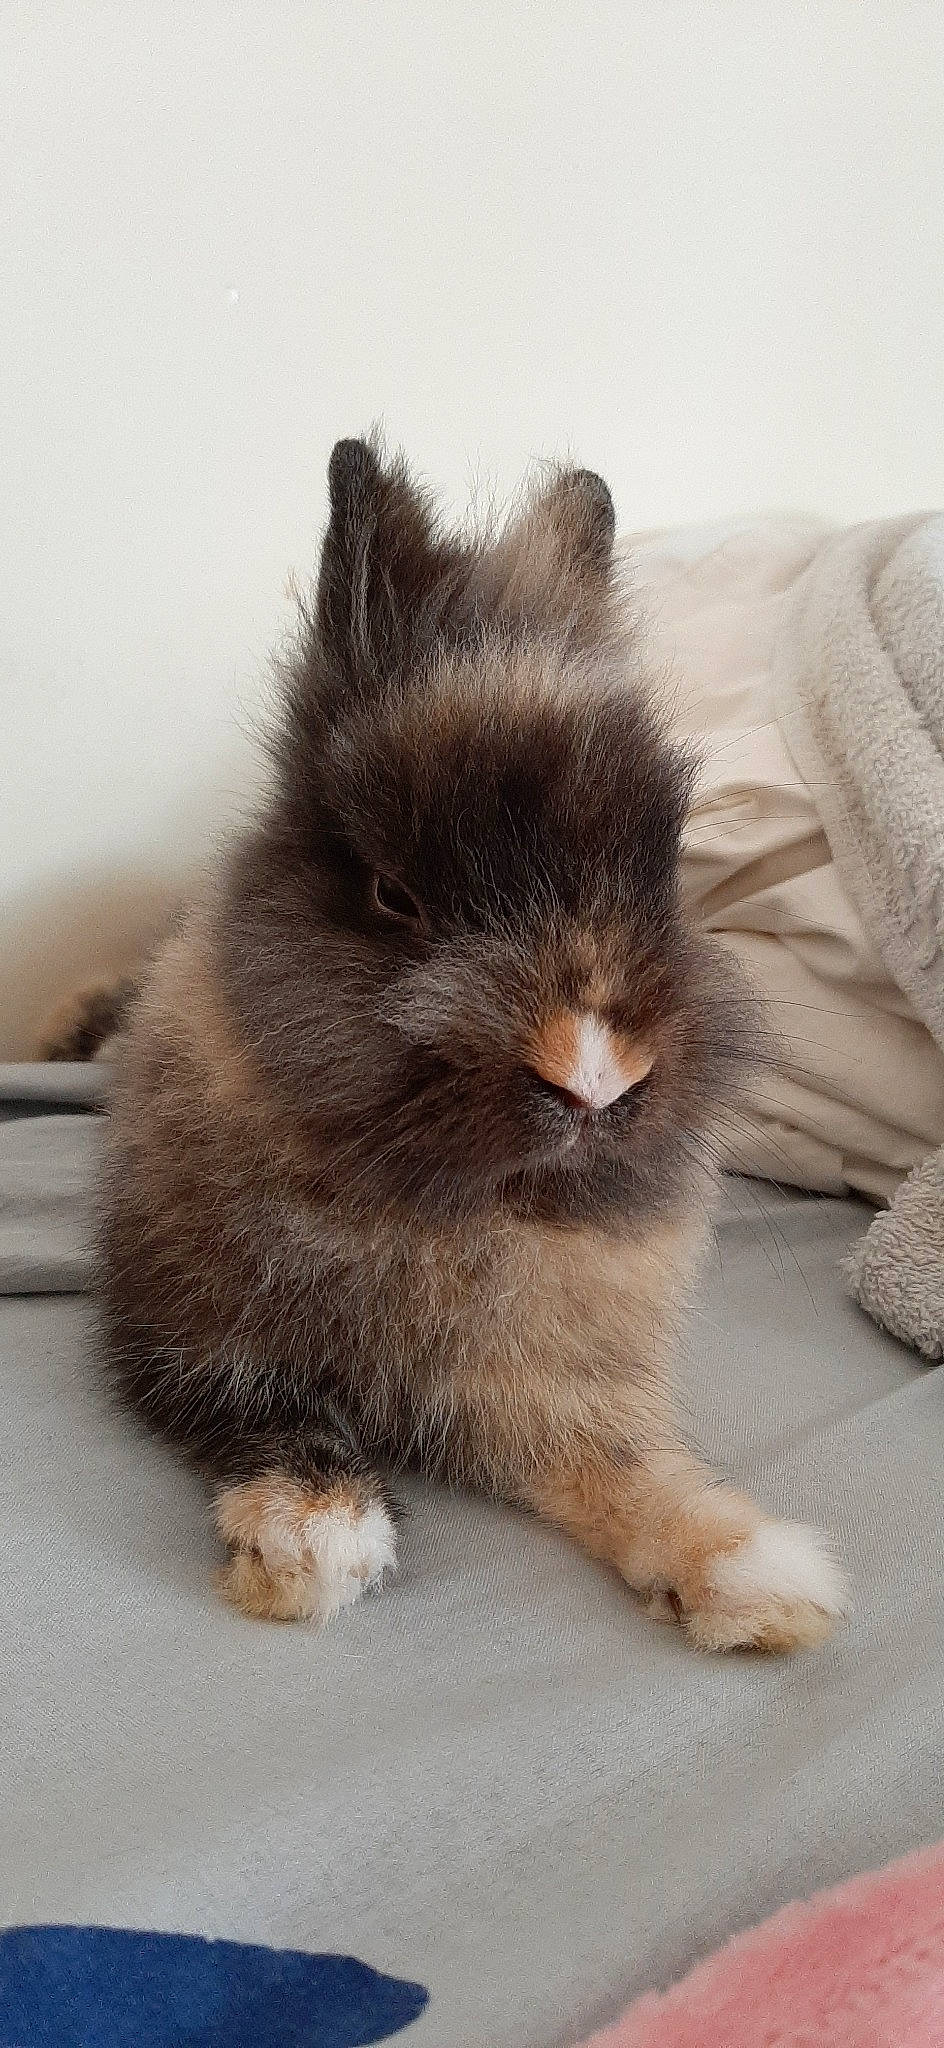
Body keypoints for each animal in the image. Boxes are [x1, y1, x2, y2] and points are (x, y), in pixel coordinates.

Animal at [96, 435, 849, 1651]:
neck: (458, 1214)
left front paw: (751, 1572)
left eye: (663, 865)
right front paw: (316, 1541)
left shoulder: (544, 1390)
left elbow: (620, 1468)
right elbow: (268, 1417)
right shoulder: (184, 1342)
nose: (594, 1074)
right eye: (395, 896)